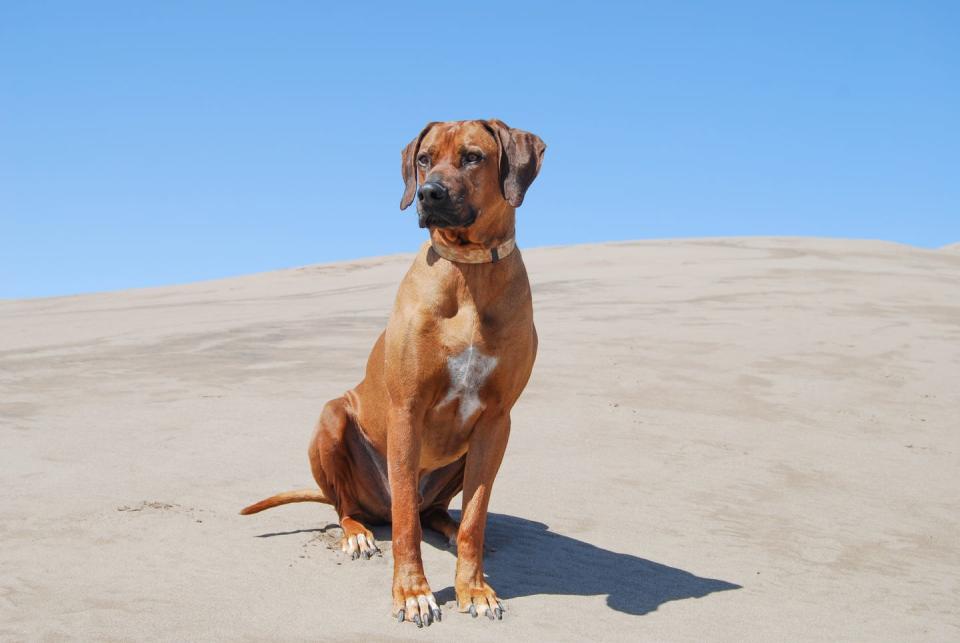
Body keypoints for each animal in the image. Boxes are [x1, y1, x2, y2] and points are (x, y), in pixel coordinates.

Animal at [240, 118, 548, 628]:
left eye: (473, 157)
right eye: (424, 159)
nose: (429, 193)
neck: (468, 272)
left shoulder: (496, 421)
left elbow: (476, 517)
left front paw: (474, 588)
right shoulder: (407, 411)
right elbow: (405, 522)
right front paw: (413, 593)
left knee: (437, 511)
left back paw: (446, 526)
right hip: (332, 418)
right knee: (354, 506)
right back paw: (357, 533)